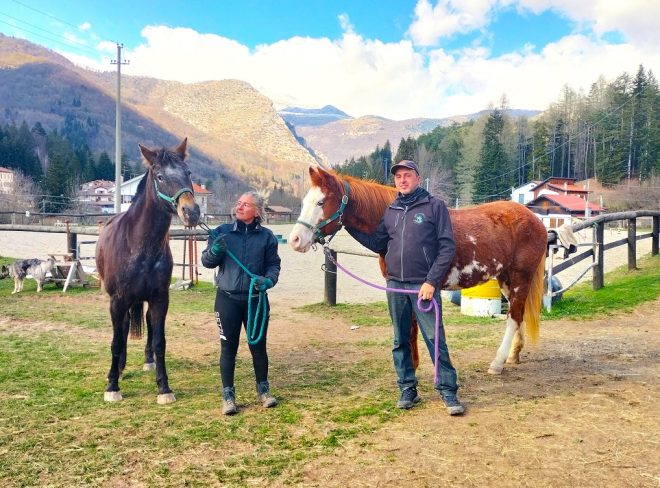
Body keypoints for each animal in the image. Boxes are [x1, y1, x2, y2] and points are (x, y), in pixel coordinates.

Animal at [95, 138, 200, 403]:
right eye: (160, 176)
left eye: (188, 173)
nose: (192, 212)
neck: (140, 244)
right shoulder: (118, 300)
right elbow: (115, 341)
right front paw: (112, 386)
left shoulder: (160, 299)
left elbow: (159, 341)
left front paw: (164, 388)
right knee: (122, 329)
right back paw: (120, 369)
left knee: (149, 327)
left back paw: (148, 362)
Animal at [289, 166, 547, 375]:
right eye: (304, 202)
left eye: (321, 202)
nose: (294, 240)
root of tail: (535, 219)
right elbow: (409, 326)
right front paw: (411, 367)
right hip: (505, 279)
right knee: (518, 313)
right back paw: (513, 355)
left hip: (520, 277)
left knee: (514, 316)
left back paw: (497, 363)